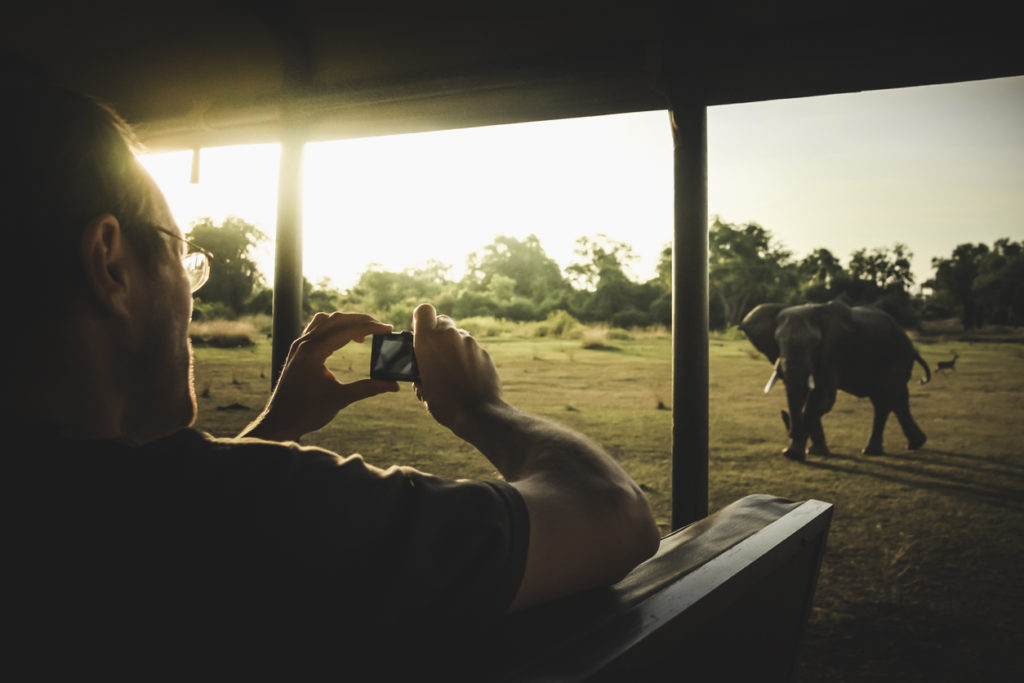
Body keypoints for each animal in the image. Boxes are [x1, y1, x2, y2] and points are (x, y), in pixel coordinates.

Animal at [741, 301, 933, 462]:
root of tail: (912, 346)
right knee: (895, 399)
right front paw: (814, 452)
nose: (783, 414)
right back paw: (914, 444)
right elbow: (805, 394)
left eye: (815, 344)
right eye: (777, 341)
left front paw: (793, 454)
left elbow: (821, 398)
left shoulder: (833, 352)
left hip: (896, 359)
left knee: (884, 401)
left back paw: (872, 450)